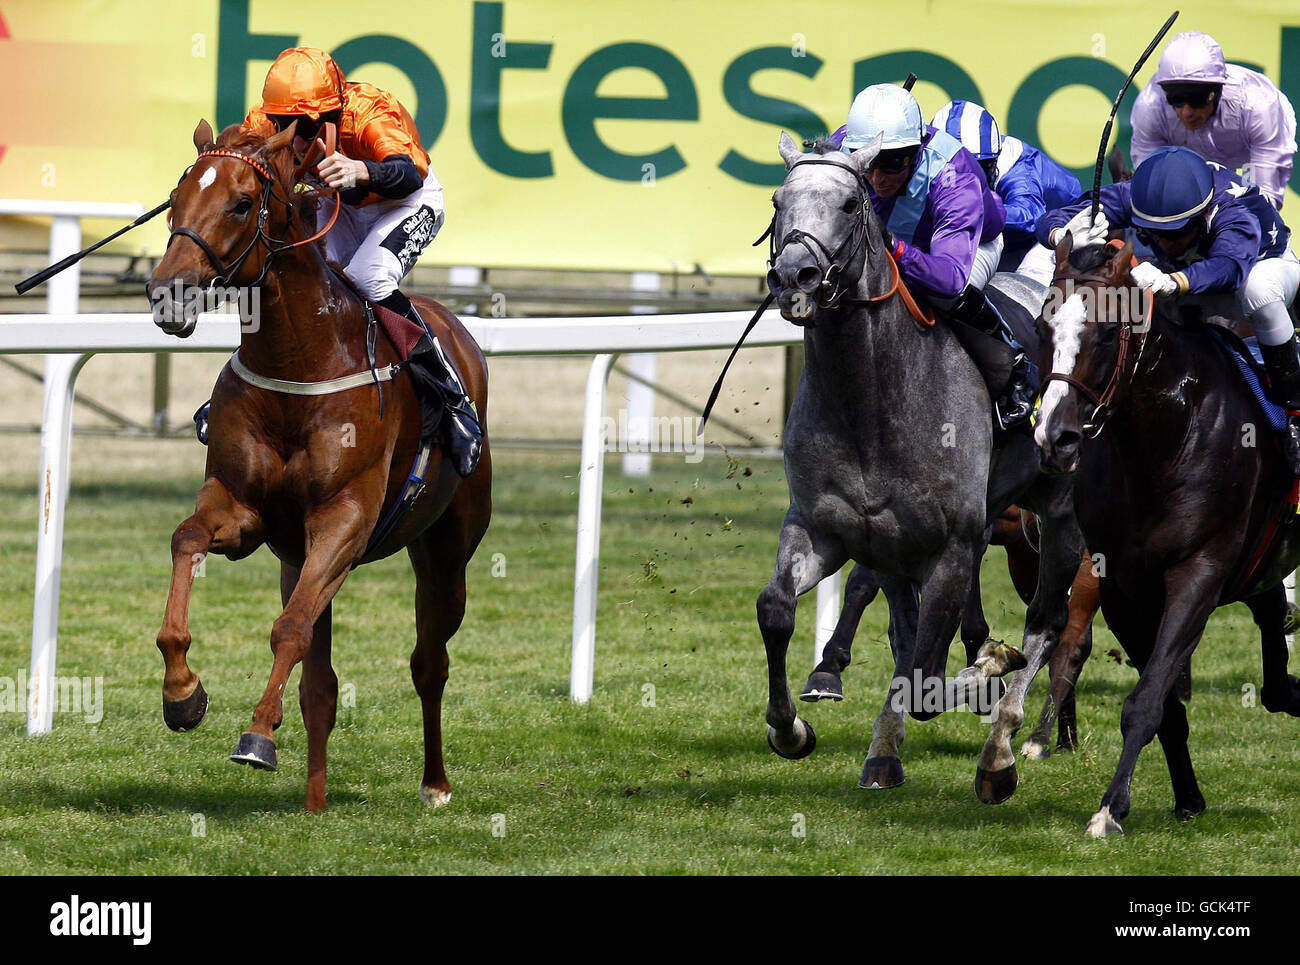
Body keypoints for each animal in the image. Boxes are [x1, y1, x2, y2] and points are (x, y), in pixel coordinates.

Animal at [147, 122, 491, 816]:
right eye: (175, 197)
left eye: (241, 204)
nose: (168, 293)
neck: (298, 360)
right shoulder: (246, 513)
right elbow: (188, 540)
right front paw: (183, 694)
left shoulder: (345, 518)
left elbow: (290, 630)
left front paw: (256, 736)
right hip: (296, 558)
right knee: (322, 683)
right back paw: (315, 800)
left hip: (449, 551)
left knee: (429, 661)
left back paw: (435, 783)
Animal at [759, 135, 1086, 801]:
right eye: (778, 201)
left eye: (850, 203)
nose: (793, 276)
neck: (870, 402)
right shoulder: (826, 529)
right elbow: (777, 609)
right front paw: (792, 729)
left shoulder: (954, 546)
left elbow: (931, 684)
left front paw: (991, 672)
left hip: (1057, 512)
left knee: (1049, 621)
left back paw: (1001, 750)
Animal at [1034, 236, 1300, 837]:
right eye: (1042, 327)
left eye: (1107, 332)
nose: (1055, 440)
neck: (1166, 437)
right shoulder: (1123, 588)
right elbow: (1164, 705)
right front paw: (1187, 798)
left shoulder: (1198, 571)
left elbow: (1148, 697)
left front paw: (1110, 809)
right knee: (1273, 635)